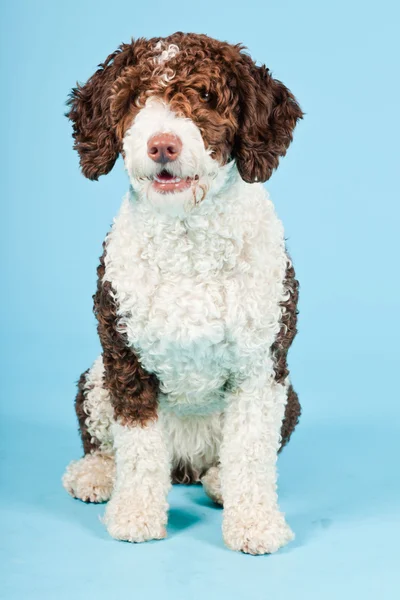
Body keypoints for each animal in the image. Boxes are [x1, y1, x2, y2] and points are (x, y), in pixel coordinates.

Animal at [61, 30, 302, 552]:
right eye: (134, 98)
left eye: (207, 97)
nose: (163, 145)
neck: (188, 237)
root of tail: (187, 464)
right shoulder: (125, 361)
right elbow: (138, 451)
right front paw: (135, 514)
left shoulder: (260, 367)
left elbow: (252, 452)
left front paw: (255, 522)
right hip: (96, 378)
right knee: (105, 443)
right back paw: (96, 474)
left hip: (288, 396)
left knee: (234, 457)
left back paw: (218, 482)